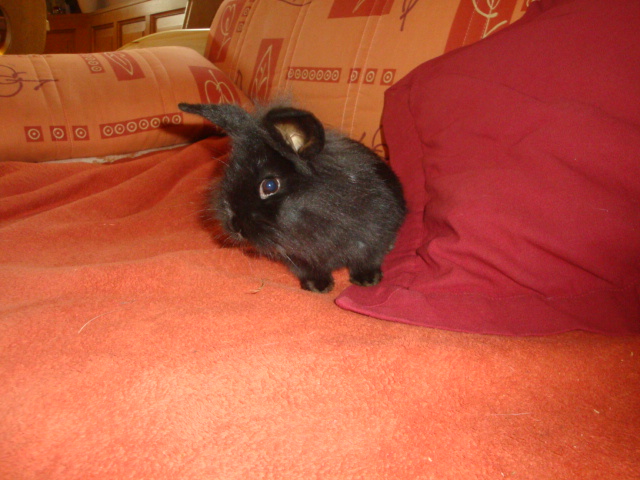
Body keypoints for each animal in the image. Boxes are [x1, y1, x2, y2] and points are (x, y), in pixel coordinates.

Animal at [179, 102, 406, 293]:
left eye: (270, 185)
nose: (235, 226)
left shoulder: (375, 235)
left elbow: (368, 258)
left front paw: (367, 280)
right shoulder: (299, 258)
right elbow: (309, 269)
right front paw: (318, 286)